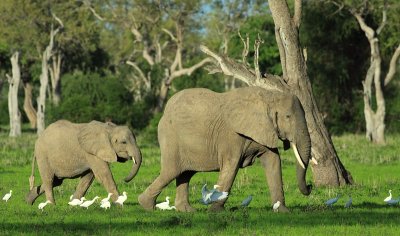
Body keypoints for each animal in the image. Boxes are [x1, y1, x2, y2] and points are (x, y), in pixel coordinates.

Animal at [139, 86, 318, 212]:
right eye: (287, 117)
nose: (310, 186)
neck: (269, 96)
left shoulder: (265, 130)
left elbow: (273, 161)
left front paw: (283, 211)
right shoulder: (231, 135)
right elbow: (231, 166)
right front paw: (215, 211)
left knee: (185, 173)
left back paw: (187, 211)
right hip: (170, 138)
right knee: (171, 171)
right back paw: (147, 206)